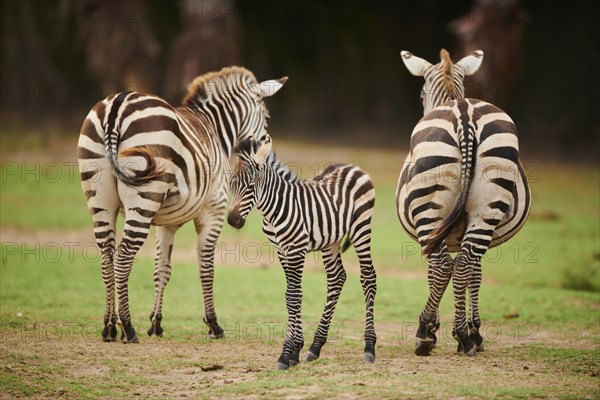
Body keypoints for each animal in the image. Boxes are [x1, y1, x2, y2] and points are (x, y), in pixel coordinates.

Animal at [78, 66, 288, 344]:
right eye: (266, 115)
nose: (267, 152)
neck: (214, 129)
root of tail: (117, 106)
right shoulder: (214, 209)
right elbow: (206, 268)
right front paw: (213, 324)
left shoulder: (167, 223)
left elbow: (162, 269)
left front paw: (156, 323)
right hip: (143, 197)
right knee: (123, 257)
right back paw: (128, 327)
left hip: (101, 199)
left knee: (106, 258)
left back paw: (109, 327)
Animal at [227, 134, 378, 368]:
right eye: (231, 185)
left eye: (251, 185)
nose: (233, 220)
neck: (273, 210)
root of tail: (350, 166)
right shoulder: (282, 250)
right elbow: (292, 296)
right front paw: (296, 351)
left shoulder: (296, 249)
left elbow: (294, 295)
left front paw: (286, 354)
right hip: (331, 240)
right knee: (336, 278)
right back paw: (316, 347)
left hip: (361, 228)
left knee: (368, 278)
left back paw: (369, 347)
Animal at [396, 49, 532, 356]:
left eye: (421, 94)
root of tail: (463, 112)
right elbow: (475, 273)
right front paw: (474, 332)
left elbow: (435, 272)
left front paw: (436, 328)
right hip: (487, 208)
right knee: (462, 264)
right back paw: (464, 337)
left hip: (429, 210)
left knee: (443, 265)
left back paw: (425, 334)